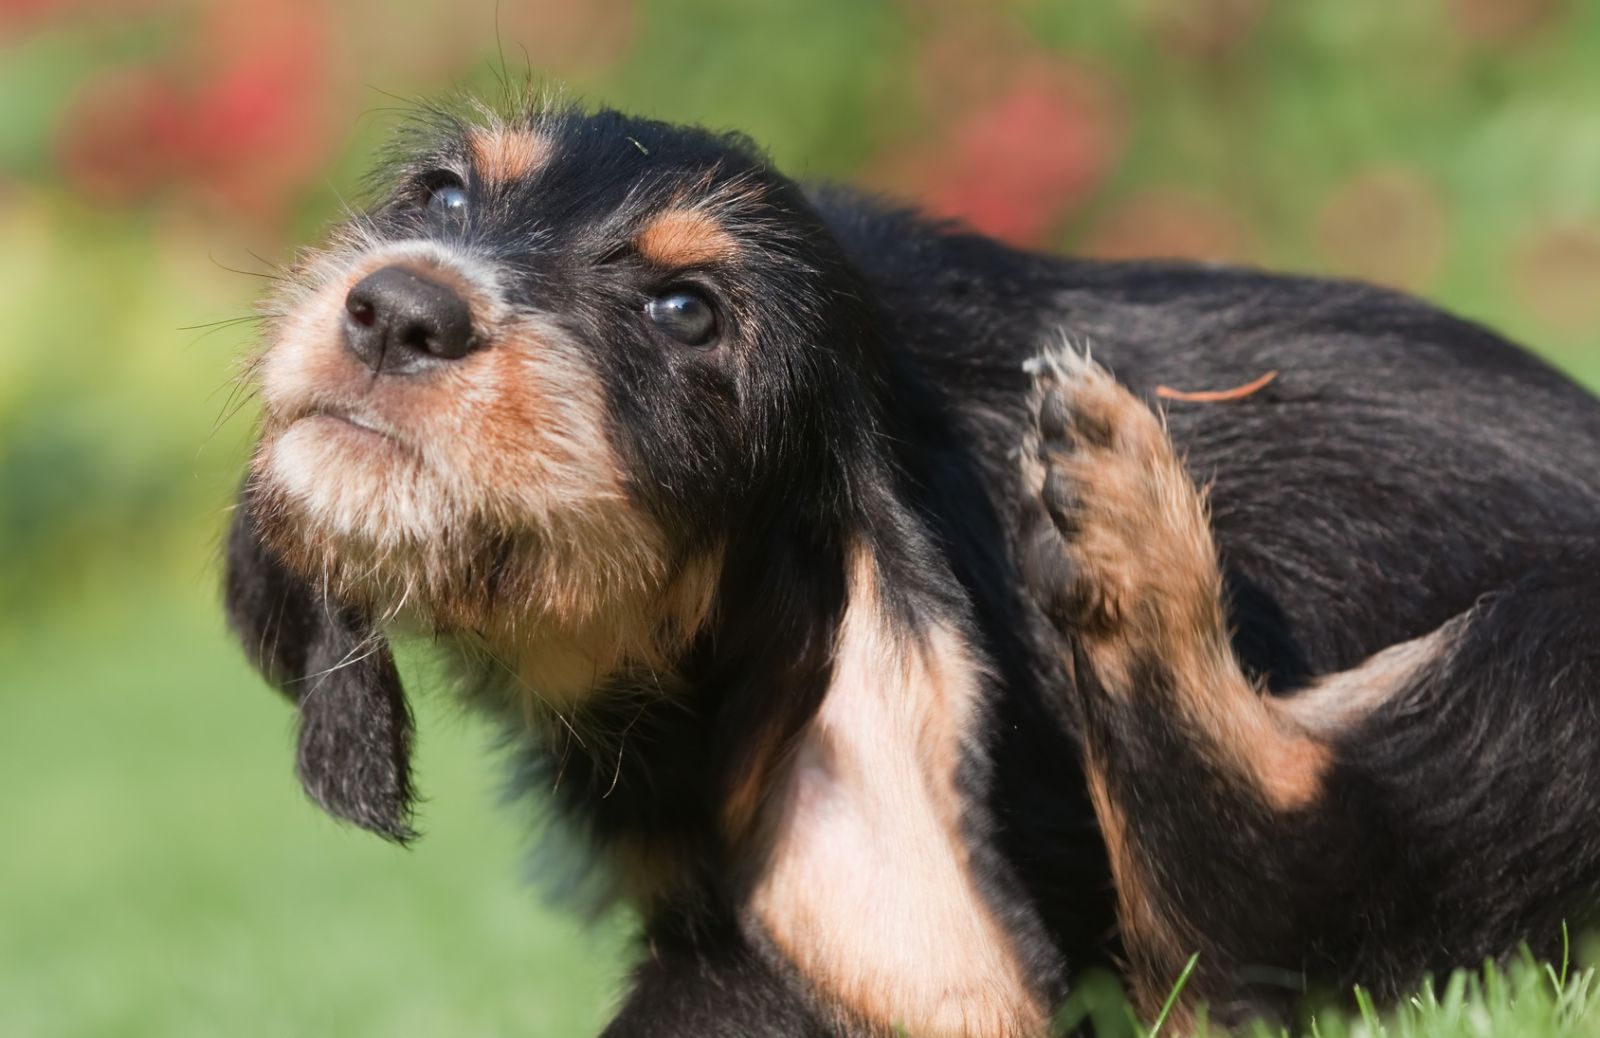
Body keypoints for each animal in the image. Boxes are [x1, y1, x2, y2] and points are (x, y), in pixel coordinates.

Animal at [225, 101, 1600, 1030]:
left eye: (688, 313)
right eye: (444, 198)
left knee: (1269, 901)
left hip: (1547, 666)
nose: (399, 308)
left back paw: (1126, 524)